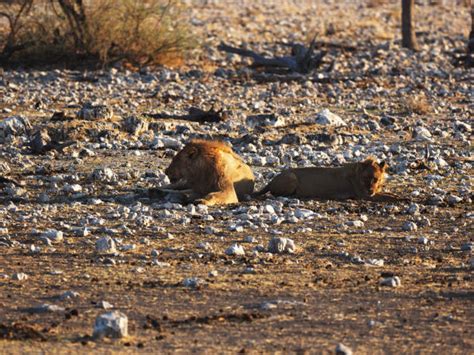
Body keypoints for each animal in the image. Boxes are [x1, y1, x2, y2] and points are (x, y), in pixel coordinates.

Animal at [256, 159, 400, 202]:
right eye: (365, 178)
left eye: (375, 179)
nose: (370, 190)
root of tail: (272, 180)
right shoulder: (364, 195)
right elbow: (388, 197)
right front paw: (402, 199)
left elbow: (390, 194)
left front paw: (397, 195)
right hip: (292, 176)